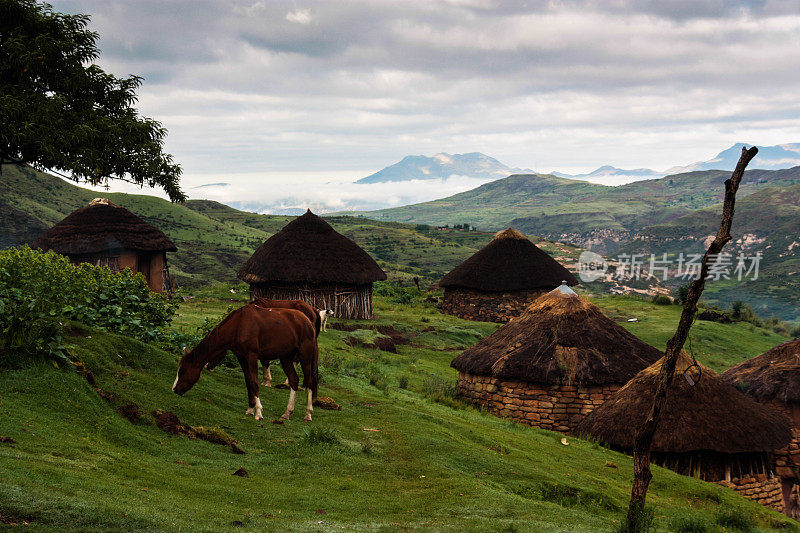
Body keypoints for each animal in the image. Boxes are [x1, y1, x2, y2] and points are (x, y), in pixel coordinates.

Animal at [172, 306, 318, 422]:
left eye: (182, 371)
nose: (175, 390)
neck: (238, 325)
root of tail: (308, 321)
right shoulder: (241, 358)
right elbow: (248, 382)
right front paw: (250, 409)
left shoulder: (251, 356)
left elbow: (254, 383)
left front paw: (259, 412)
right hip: (286, 358)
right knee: (294, 381)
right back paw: (287, 413)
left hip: (305, 356)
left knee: (309, 381)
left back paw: (308, 414)